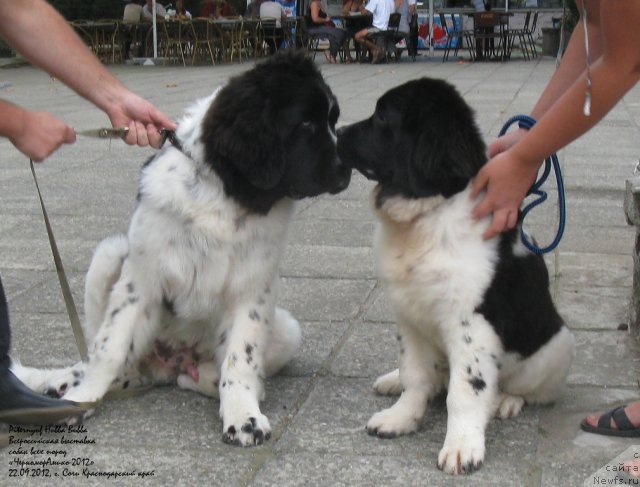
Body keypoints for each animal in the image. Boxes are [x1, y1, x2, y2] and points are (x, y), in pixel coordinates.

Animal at [15, 49, 352, 446]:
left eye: (332, 120)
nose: (348, 169)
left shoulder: (254, 289)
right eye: (306, 124)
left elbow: (241, 358)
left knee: (202, 373)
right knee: (112, 362)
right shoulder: (141, 277)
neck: (224, 196)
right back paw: (67, 382)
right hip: (110, 254)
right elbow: (108, 349)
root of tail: (169, 362)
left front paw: (243, 414)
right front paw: (80, 401)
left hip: (286, 329)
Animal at [338, 78, 572, 474]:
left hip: (556, 346)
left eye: (383, 117)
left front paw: (462, 446)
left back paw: (505, 401)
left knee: (526, 389)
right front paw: (401, 417)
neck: (428, 215)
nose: (337, 132)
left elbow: (465, 392)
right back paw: (392, 380)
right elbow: (415, 374)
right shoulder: (409, 314)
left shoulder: (471, 326)